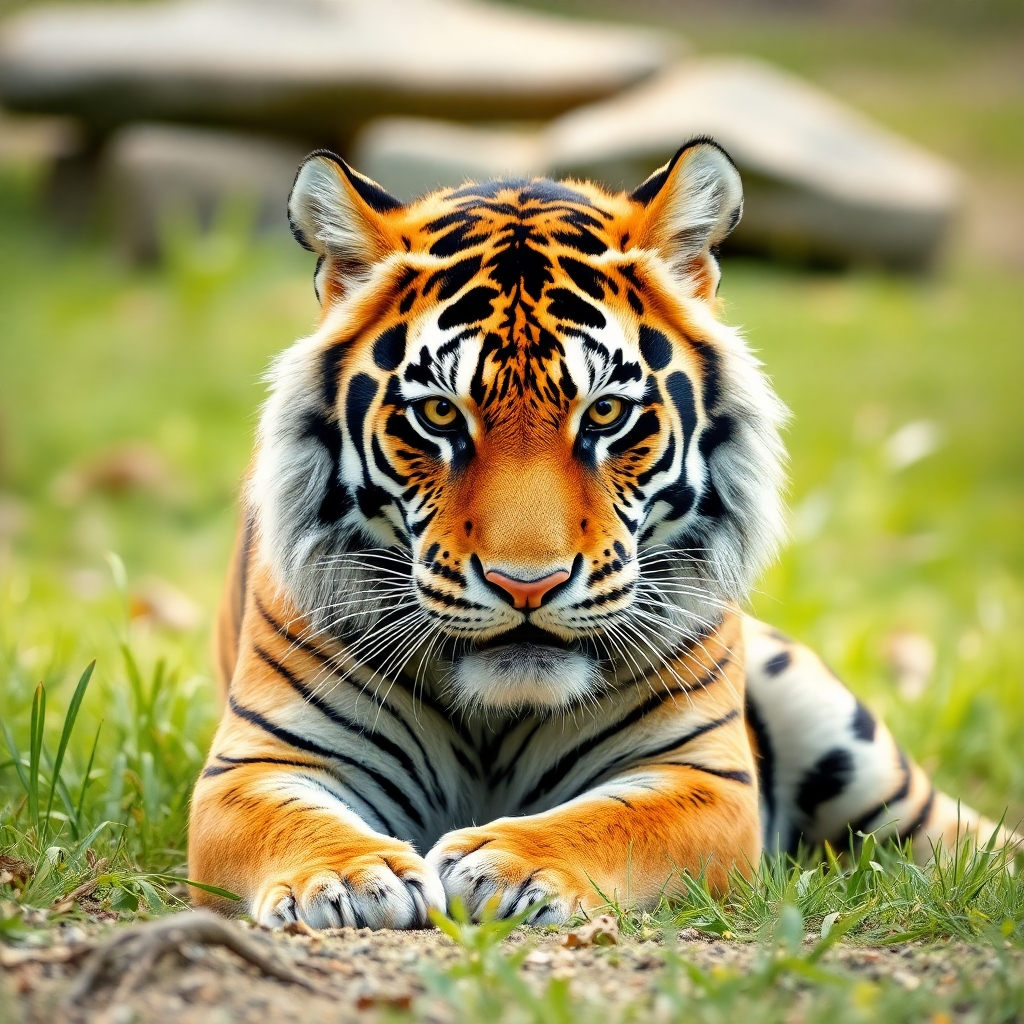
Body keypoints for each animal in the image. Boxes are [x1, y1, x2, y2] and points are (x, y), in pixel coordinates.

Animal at [188, 138, 1015, 930]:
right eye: (442, 415)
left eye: (606, 414)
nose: (527, 585)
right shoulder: (256, 762)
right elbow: (292, 823)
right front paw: (346, 881)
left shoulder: (703, 773)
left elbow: (609, 822)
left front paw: (504, 864)